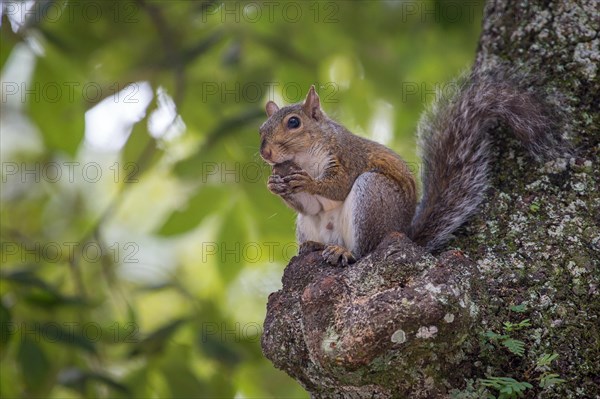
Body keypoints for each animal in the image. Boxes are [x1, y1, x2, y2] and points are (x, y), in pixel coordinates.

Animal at [258, 70, 568, 268]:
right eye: (261, 129)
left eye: (294, 123)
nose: (265, 153)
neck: (305, 158)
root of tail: (405, 234)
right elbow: (312, 206)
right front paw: (275, 186)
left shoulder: (348, 156)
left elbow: (337, 185)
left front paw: (308, 182)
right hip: (308, 224)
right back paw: (315, 246)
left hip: (373, 195)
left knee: (365, 251)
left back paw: (344, 253)